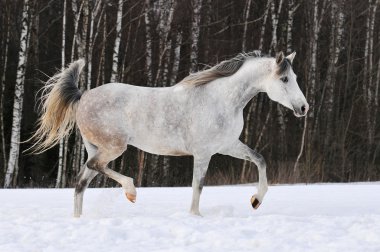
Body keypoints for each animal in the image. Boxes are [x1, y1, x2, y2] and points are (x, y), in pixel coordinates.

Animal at [29, 50, 308, 217]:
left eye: (294, 76)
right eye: (284, 79)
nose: (304, 108)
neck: (221, 99)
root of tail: (83, 96)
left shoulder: (228, 145)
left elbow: (260, 160)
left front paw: (255, 200)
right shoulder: (204, 153)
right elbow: (198, 185)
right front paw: (195, 215)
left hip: (98, 147)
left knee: (81, 182)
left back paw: (79, 219)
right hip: (114, 147)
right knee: (93, 168)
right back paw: (131, 192)